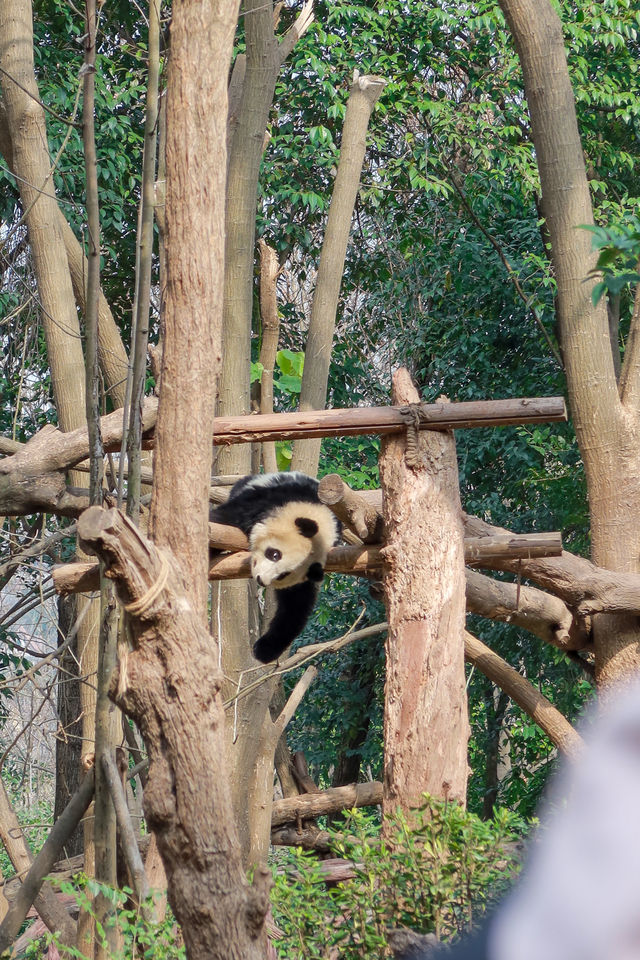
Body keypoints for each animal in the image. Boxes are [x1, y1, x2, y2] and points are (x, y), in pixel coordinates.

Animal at [210, 470, 340, 660]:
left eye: (284, 574)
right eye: (274, 554)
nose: (260, 579)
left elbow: (296, 602)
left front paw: (264, 649)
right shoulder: (265, 501)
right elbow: (220, 522)